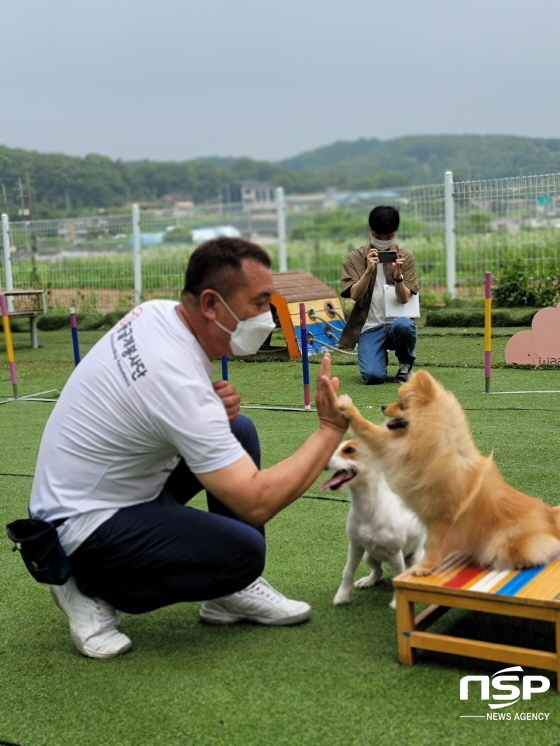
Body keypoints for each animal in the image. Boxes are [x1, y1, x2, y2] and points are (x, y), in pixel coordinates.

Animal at [322, 436, 426, 604]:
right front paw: (342, 595)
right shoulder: (355, 546)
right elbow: (348, 571)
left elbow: (398, 576)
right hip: (368, 556)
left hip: (413, 558)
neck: (367, 509)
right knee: (378, 570)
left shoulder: (395, 554)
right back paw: (367, 581)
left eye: (349, 450)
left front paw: (396, 603)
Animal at [336, 370, 560, 572]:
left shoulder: (442, 518)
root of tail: (550, 516)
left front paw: (423, 568)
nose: (383, 406)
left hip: (505, 540)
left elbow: (435, 545)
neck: (437, 437)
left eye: (402, 404)